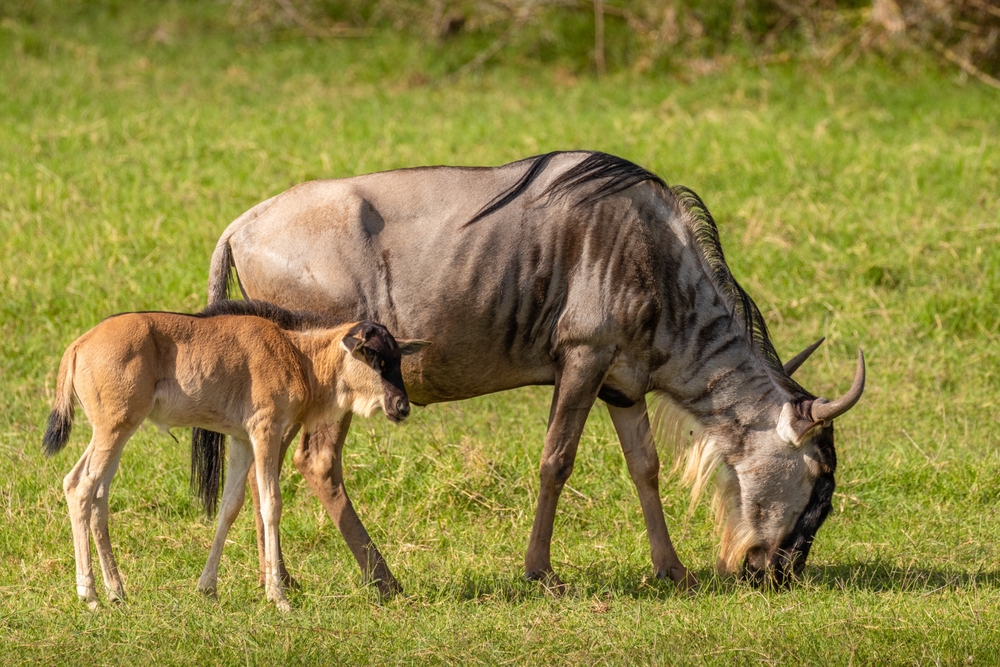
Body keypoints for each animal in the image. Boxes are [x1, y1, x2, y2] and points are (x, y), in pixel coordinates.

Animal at [42, 302, 426, 612]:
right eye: (376, 358)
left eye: (397, 357)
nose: (401, 406)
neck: (297, 353)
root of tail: (79, 345)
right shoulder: (266, 431)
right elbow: (270, 503)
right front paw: (278, 597)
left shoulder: (241, 439)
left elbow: (231, 506)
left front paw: (207, 588)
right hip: (114, 429)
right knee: (79, 487)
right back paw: (90, 596)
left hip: (118, 432)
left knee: (97, 495)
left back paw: (116, 592)